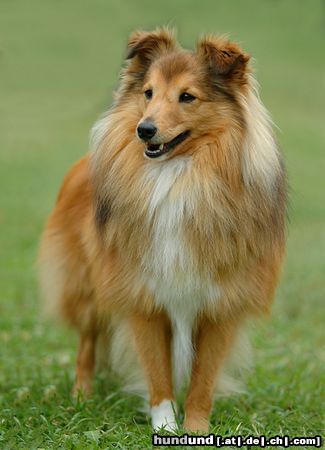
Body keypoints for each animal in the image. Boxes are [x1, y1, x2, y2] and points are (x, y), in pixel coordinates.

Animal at [39, 29, 284, 432]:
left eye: (187, 96)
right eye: (148, 93)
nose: (144, 130)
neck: (180, 176)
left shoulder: (221, 305)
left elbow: (203, 380)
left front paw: (195, 429)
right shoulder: (143, 295)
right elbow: (157, 372)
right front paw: (165, 426)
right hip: (88, 287)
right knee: (87, 343)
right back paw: (81, 397)